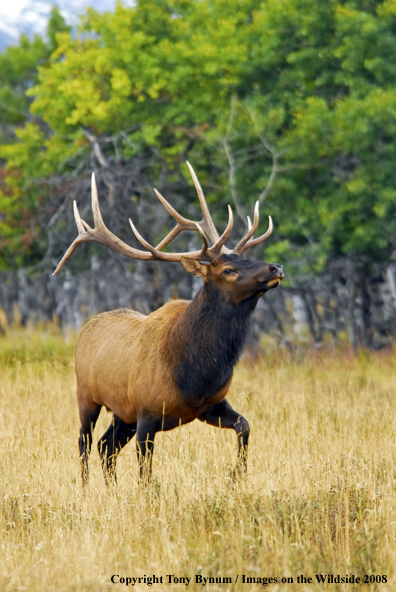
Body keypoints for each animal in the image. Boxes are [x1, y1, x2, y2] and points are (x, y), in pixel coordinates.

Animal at [53, 161, 284, 480]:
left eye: (245, 258)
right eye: (228, 270)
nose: (276, 267)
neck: (195, 371)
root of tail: (87, 327)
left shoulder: (210, 404)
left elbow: (244, 426)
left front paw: (237, 475)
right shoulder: (147, 414)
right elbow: (146, 474)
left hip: (122, 414)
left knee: (105, 446)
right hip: (87, 395)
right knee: (84, 442)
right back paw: (86, 487)